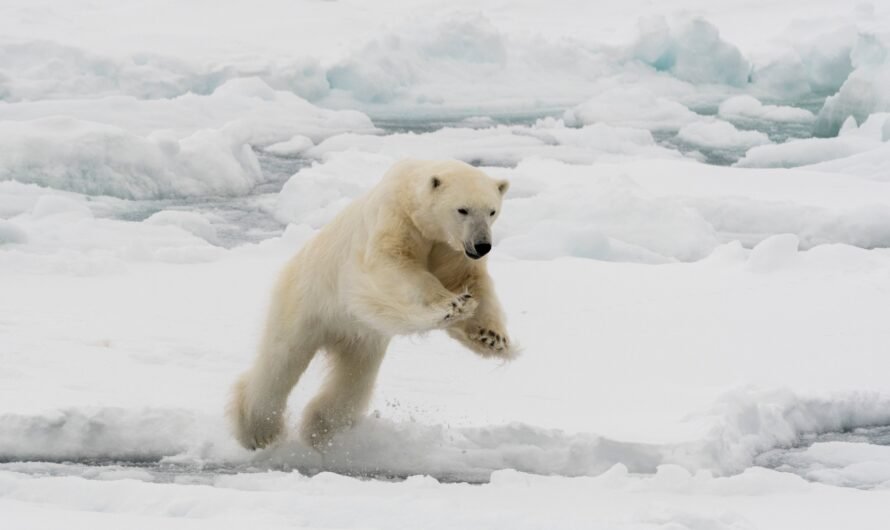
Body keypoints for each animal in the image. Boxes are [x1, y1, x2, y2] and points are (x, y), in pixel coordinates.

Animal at [229, 158, 512, 450]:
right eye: (462, 209)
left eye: (492, 211)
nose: (482, 245)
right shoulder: (395, 221)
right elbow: (393, 267)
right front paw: (453, 305)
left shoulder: (450, 249)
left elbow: (470, 280)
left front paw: (492, 337)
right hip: (306, 301)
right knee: (282, 359)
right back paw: (259, 430)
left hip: (361, 337)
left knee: (355, 377)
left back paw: (320, 427)